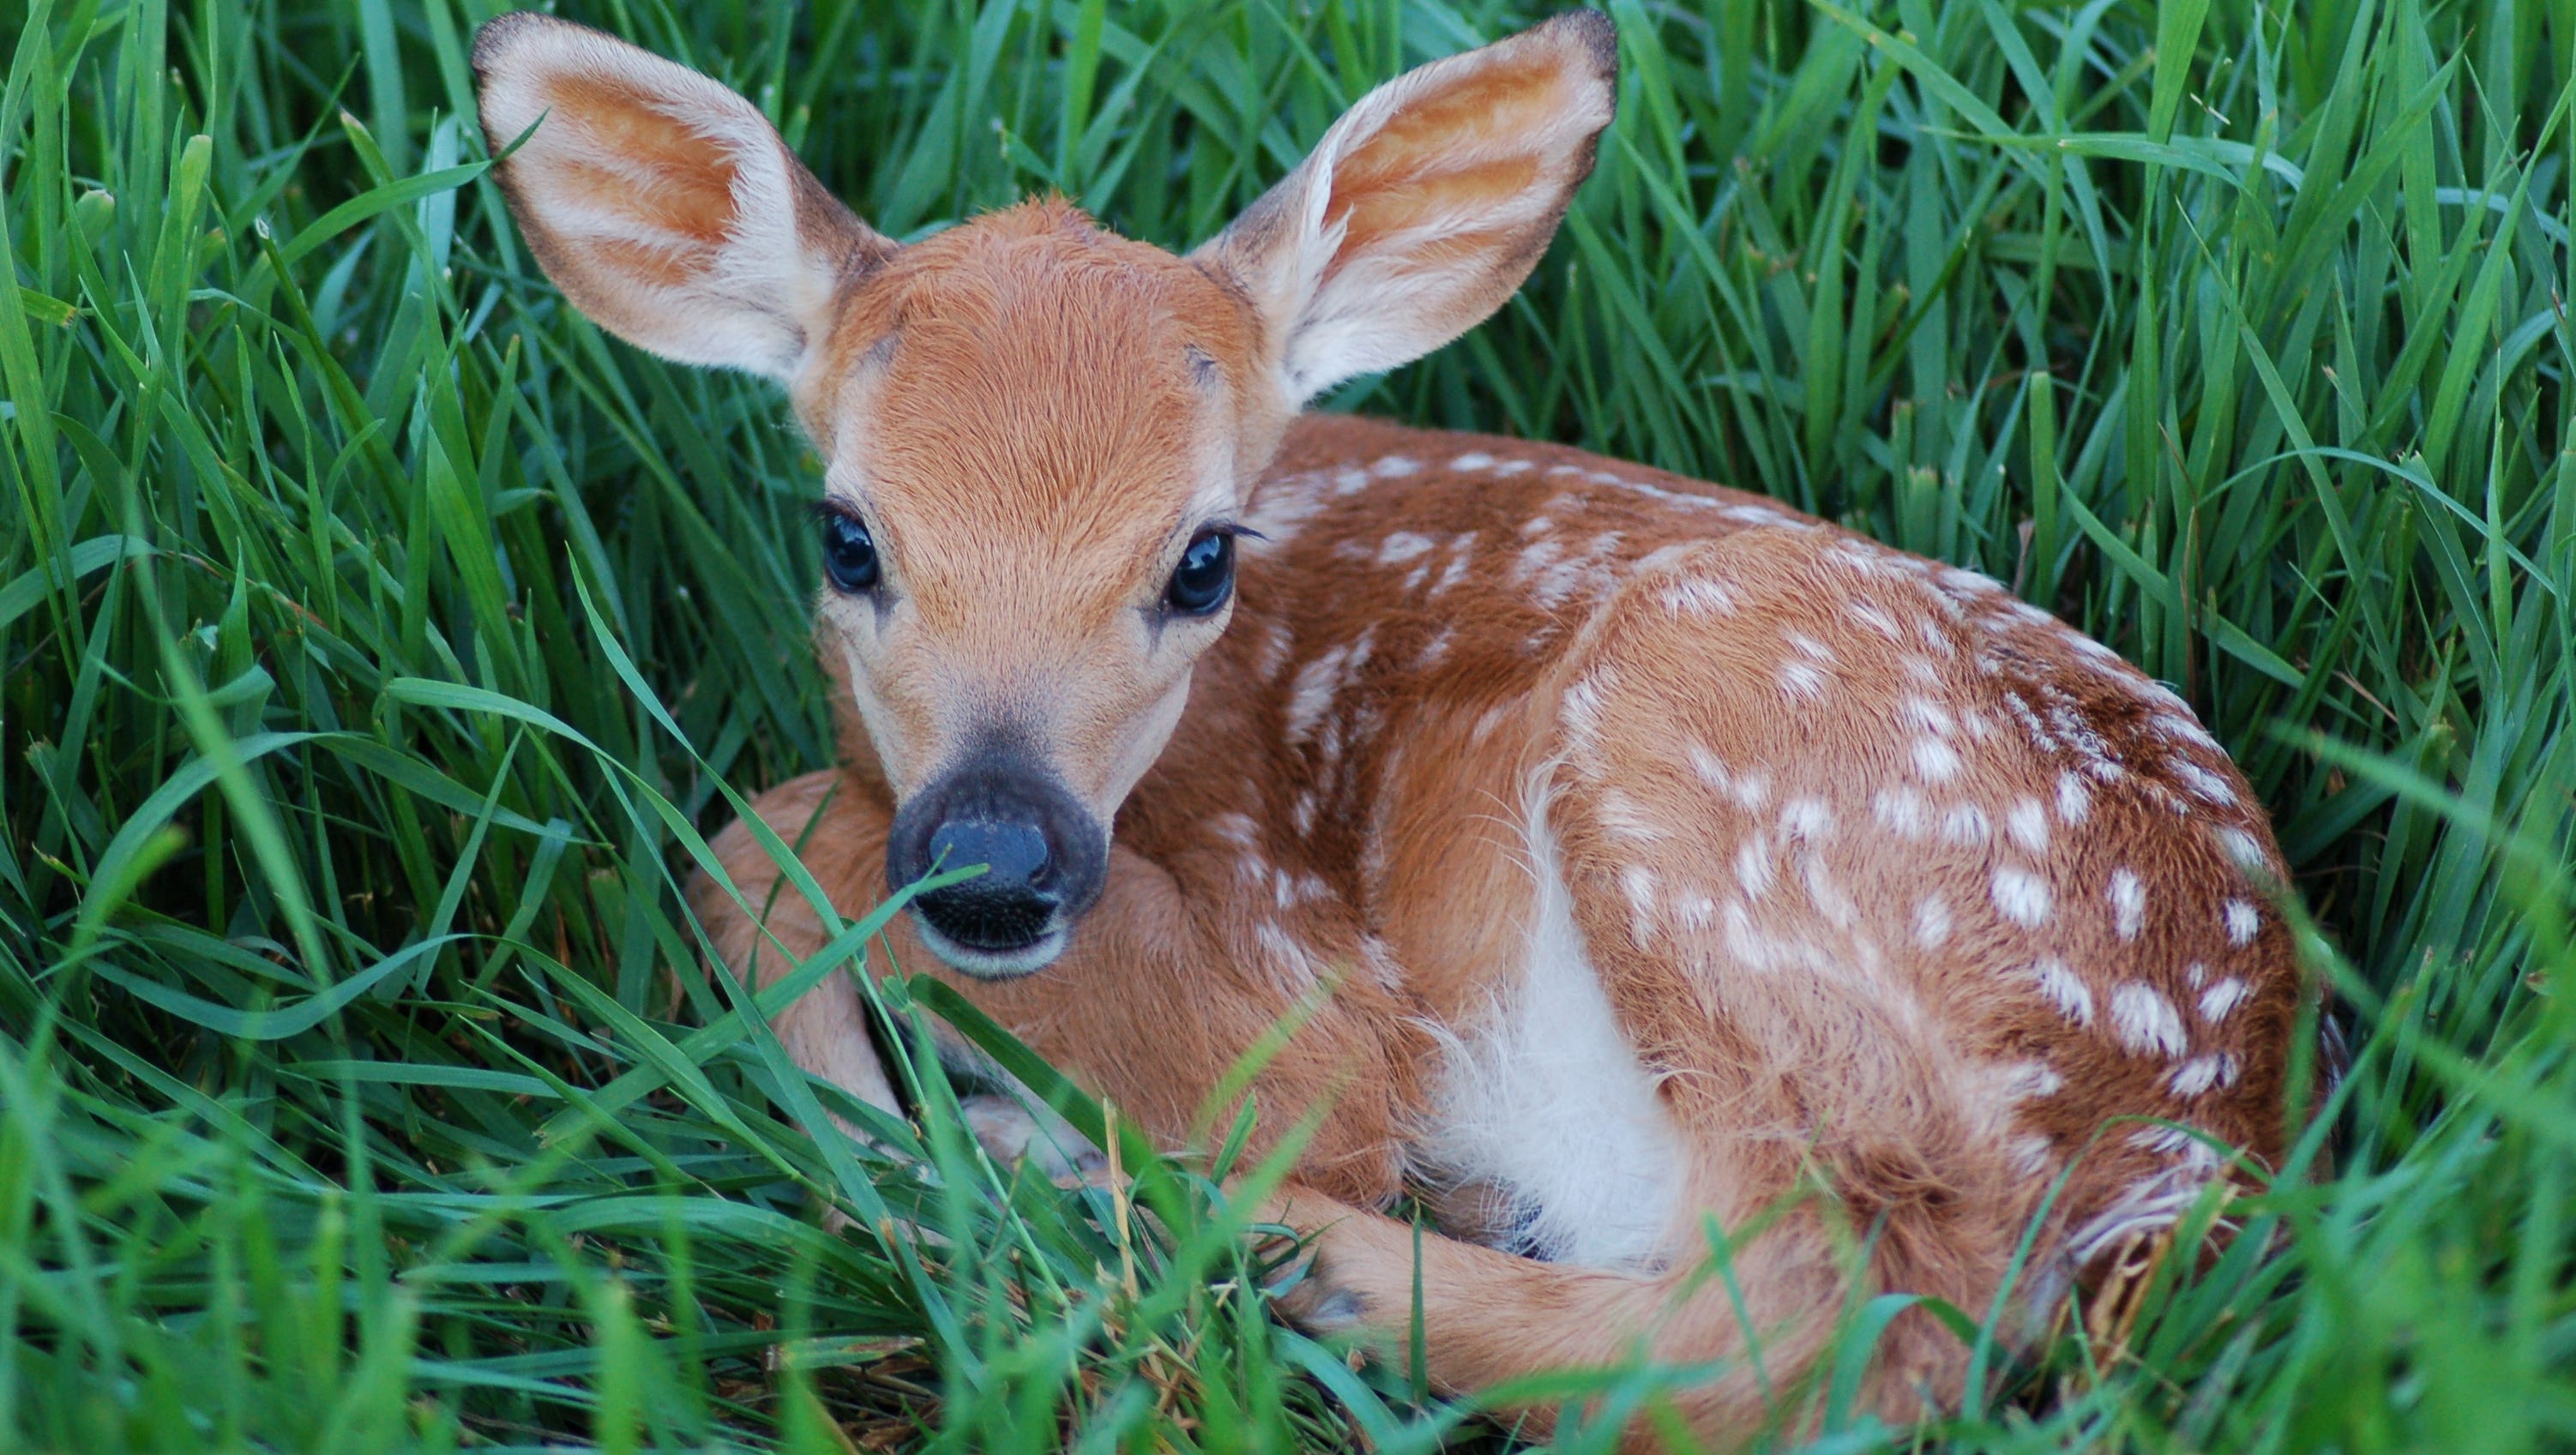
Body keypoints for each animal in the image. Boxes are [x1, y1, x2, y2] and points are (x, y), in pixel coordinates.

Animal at [478, 11, 2318, 1441]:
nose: (994, 862)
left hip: (1712, 750)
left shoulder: (1303, 980)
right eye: (845, 536)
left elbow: (764, 832)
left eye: (1201, 558)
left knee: (1833, 1324)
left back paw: (1185, 1222)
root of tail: (2207, 1135)